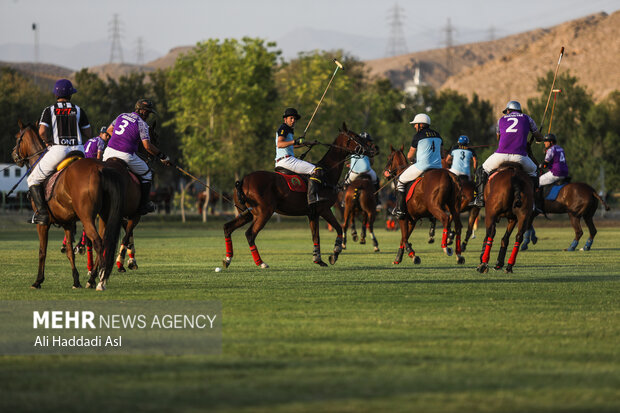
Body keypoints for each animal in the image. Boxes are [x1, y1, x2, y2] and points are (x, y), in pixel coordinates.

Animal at [12, 120, 123, 290]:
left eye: (18, 137)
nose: (13, 155)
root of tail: (99, 169)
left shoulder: (42, 224)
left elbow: (42, 251)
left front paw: (38, 281)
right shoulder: (67, 222)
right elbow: (70, 252)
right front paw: (76, 281)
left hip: (87, 217)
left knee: (98, 243)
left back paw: (98, 281)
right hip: (104, 215)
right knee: (105, 242)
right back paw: (93, 278)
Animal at [224, 123, 378, 268]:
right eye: (356, 136)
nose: (375, 148)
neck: (327, 173)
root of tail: (243, 181)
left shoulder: (312, 213)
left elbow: (316, 236)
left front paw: (318, 259)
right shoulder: (323, 209)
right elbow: (338, 228)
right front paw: (334, 254)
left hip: (247, 213)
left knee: (228, 227)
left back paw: (227, 259)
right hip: (264, 212)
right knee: (250, 234)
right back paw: (260, 263)